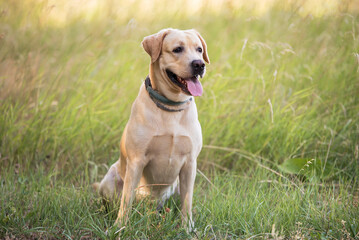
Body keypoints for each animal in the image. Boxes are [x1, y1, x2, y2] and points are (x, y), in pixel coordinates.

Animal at [93, 28, 211, 231]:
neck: (171, 106)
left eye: (199, 49)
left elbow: (187, 201)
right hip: (110, 179)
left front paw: (187, 228)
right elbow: (126, 199)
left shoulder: (190, 164)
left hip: (177, 184)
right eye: (177, 49)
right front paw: (120, 227)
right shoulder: (136, 161)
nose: (199, 64)